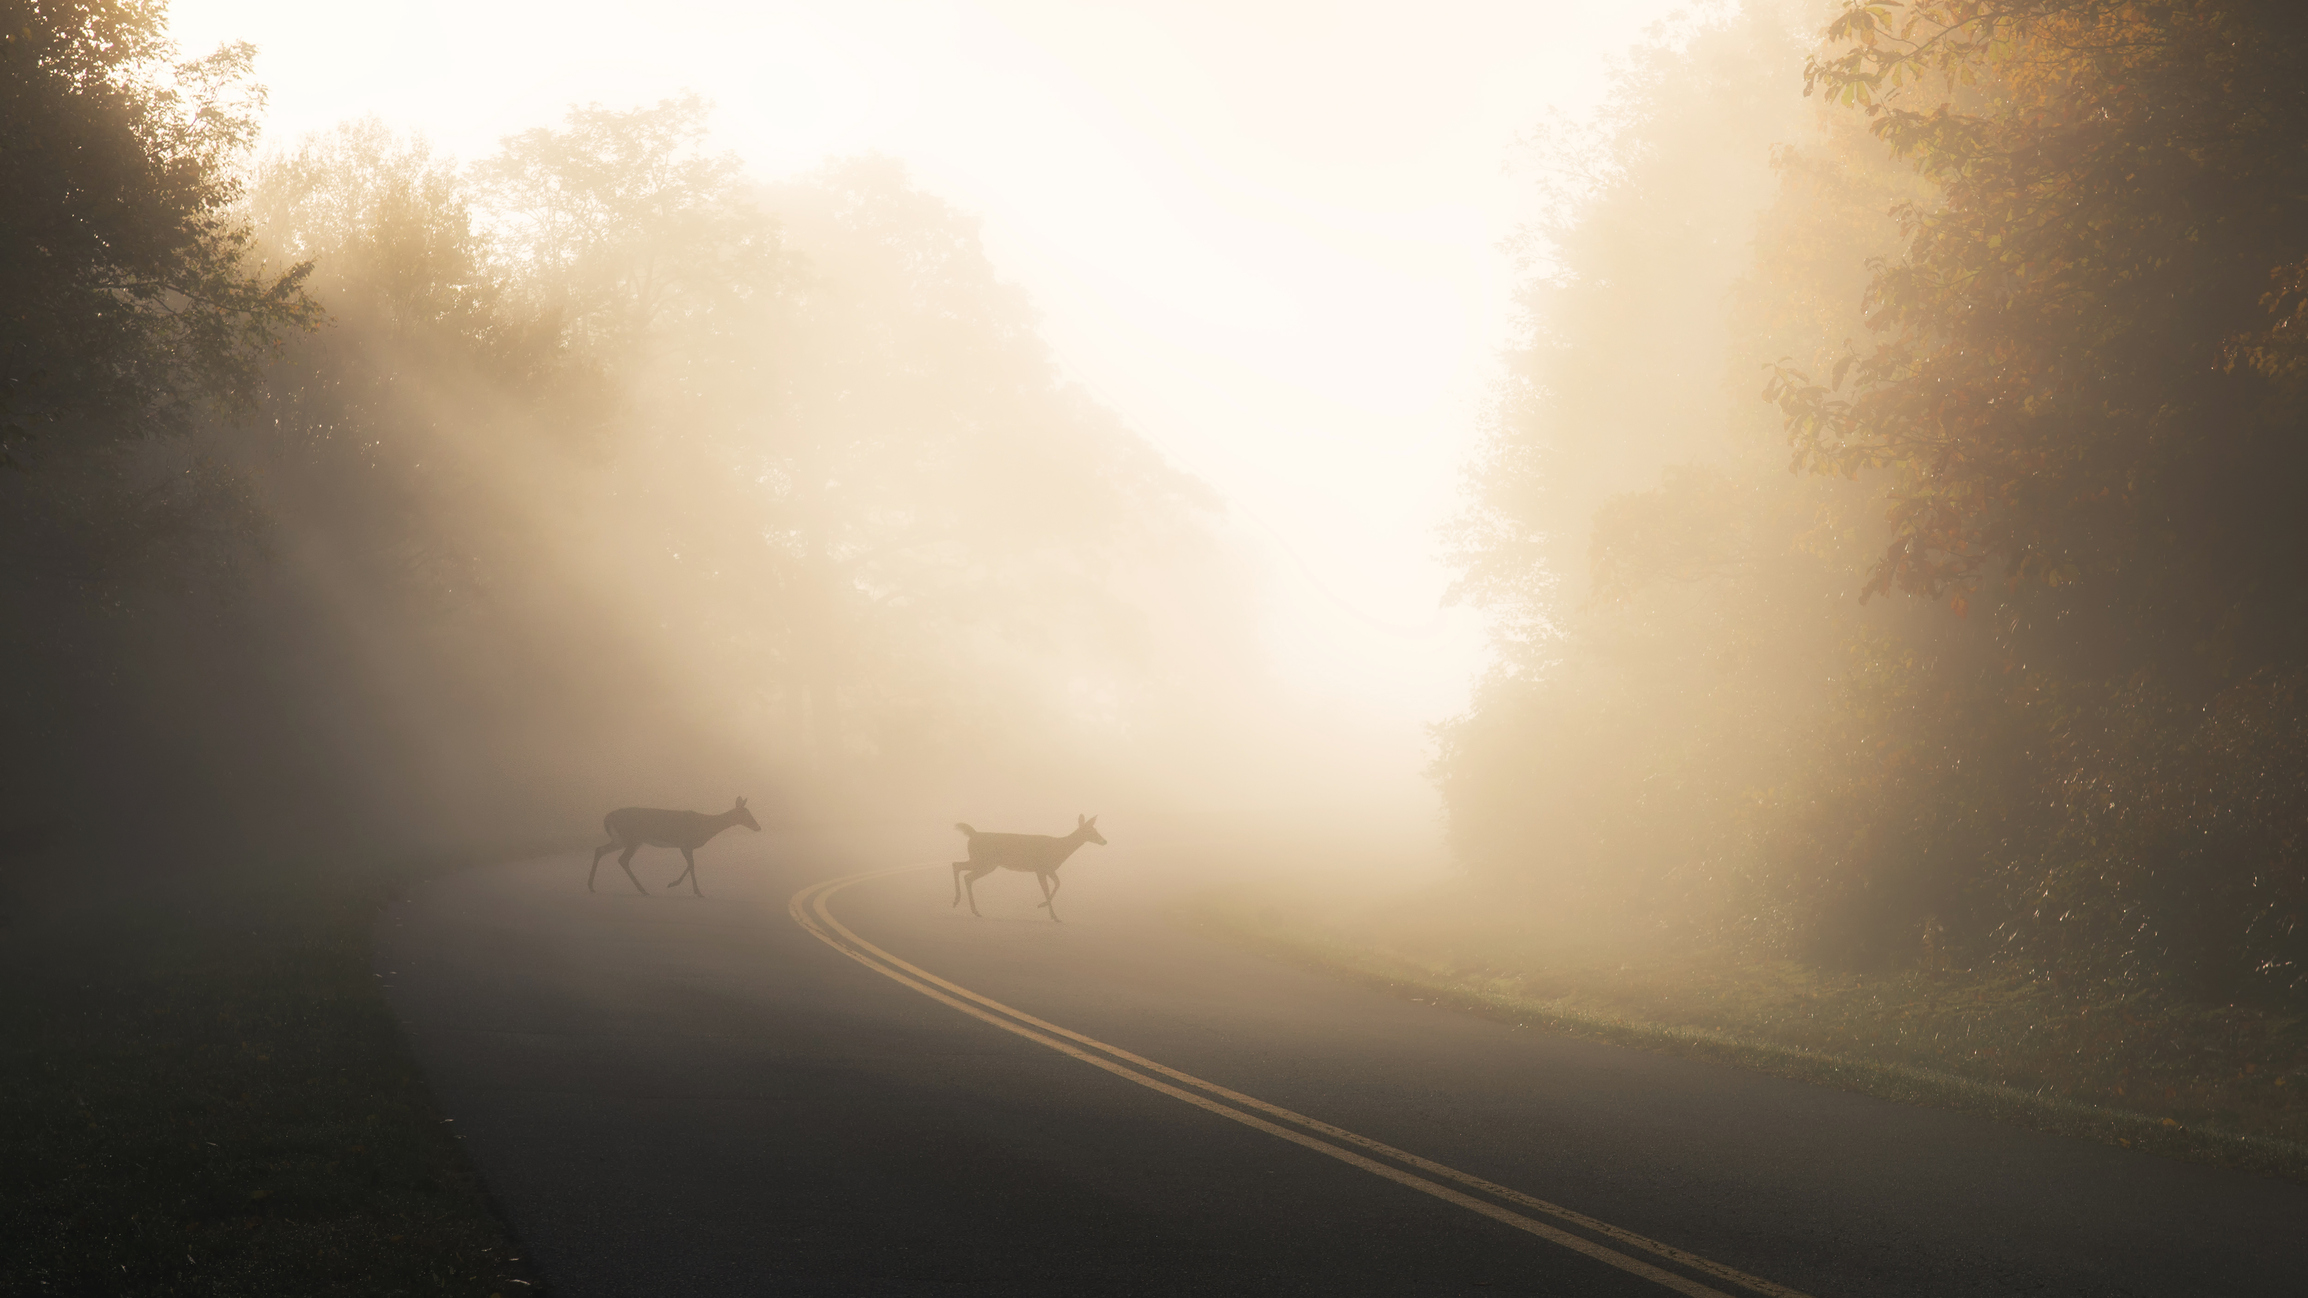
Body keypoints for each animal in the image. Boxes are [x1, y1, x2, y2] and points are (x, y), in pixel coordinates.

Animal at [590, 794, 761, 896]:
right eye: (747, 814)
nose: (758, 827)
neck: (705, 827)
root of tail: (607, 818)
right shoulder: (685, 842)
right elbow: (692, 865)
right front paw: (697, 891)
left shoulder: (685, 845)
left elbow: (690, 865)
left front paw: (673, 884)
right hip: (633, 838)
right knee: (622, 859)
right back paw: (642, 889)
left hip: (622, 839)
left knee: (600, 850)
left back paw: (591, 886)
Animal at [950, 808, 1103, 919]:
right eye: (1090, 831)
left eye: (1096, 830)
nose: (1104, 841)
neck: (1060, 848)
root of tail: (973, 834)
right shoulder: (1040, 868)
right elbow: (1047, 889)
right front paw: (1052, 914)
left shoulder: (1049, 869)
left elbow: (1058, 884)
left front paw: (1044, 907)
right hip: (985, 862)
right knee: (964, 873)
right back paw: (964, 905)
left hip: (981, 861)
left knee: (959, 868)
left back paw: (965, 906)